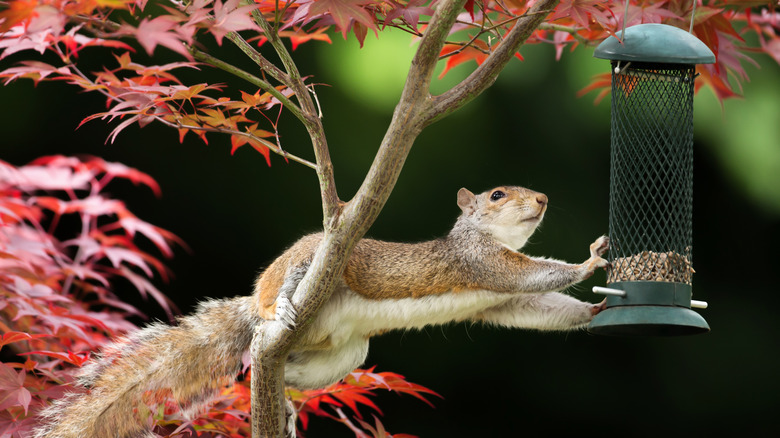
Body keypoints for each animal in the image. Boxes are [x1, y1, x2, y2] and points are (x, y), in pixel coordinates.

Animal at [33, 186, 608, 438]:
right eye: (497, 194)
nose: (543, 199)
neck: (489, 237)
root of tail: (254, 306)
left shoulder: (504, 297)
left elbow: (539, 306)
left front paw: (597, 310)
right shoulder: (484, 265)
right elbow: (537, 276)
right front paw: (591, 261)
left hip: (344, 355)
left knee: (275, 373)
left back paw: (282, 403)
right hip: (309, 262)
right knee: (283, 294)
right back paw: (283, 304)